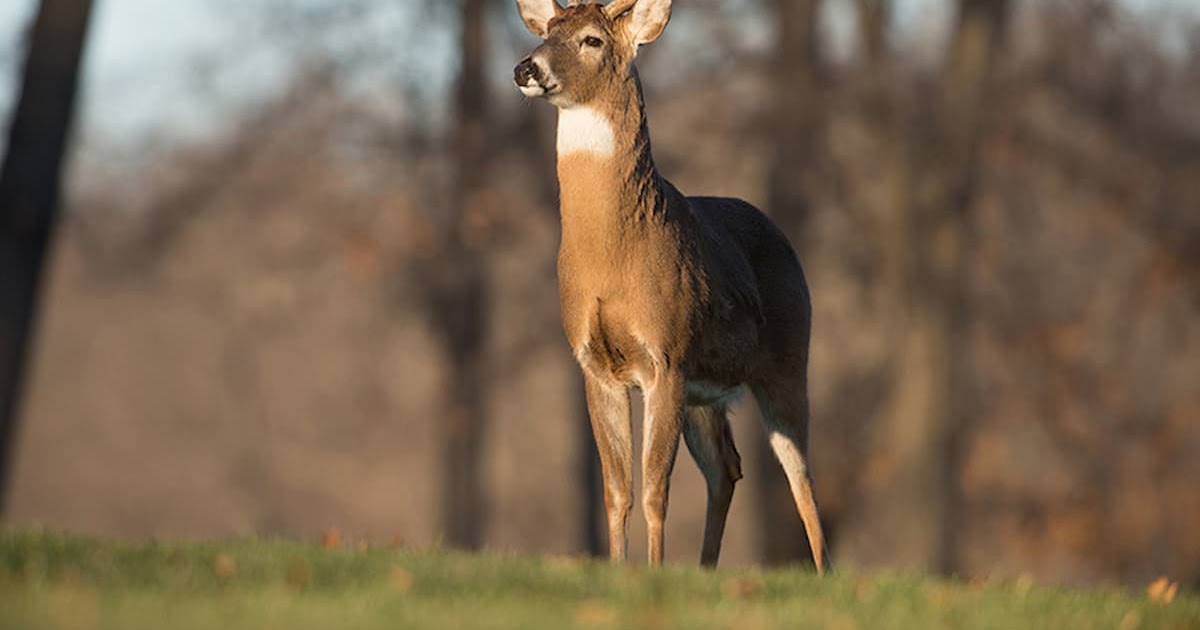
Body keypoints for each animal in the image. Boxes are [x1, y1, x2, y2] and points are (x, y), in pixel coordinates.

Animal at [513, 0, 829, 571]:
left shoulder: (667, 355)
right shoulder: (595, 364)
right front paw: (620, 570)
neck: (612, 256)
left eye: (592, 40)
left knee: (800, 474)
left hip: (788, 359)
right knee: (727, 467)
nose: (526, 67)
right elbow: (617, 488)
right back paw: (705, 570)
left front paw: (654, 571)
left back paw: (825, 573)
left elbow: (655, 486)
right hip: (706, 392)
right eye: (548, 32)